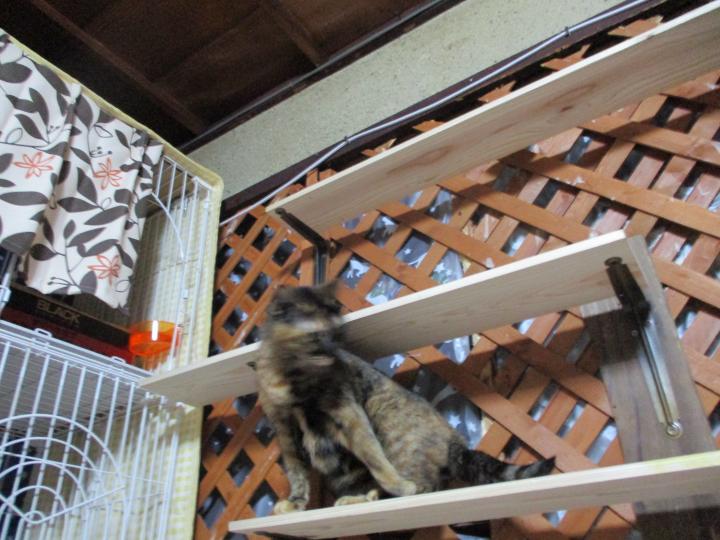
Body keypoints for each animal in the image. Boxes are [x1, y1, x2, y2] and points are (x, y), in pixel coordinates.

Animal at [256, 282, 555, 514]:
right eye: (317, 336)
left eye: (338, 334)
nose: (333, 352)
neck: (295, 382)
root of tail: (455, 440)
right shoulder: (285, 431)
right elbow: (296, 472)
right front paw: (295, 502)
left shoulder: (349, 414)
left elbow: (376, 460)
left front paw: (399, 485)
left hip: (384, 419)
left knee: (422, 486)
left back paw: (373, 496)